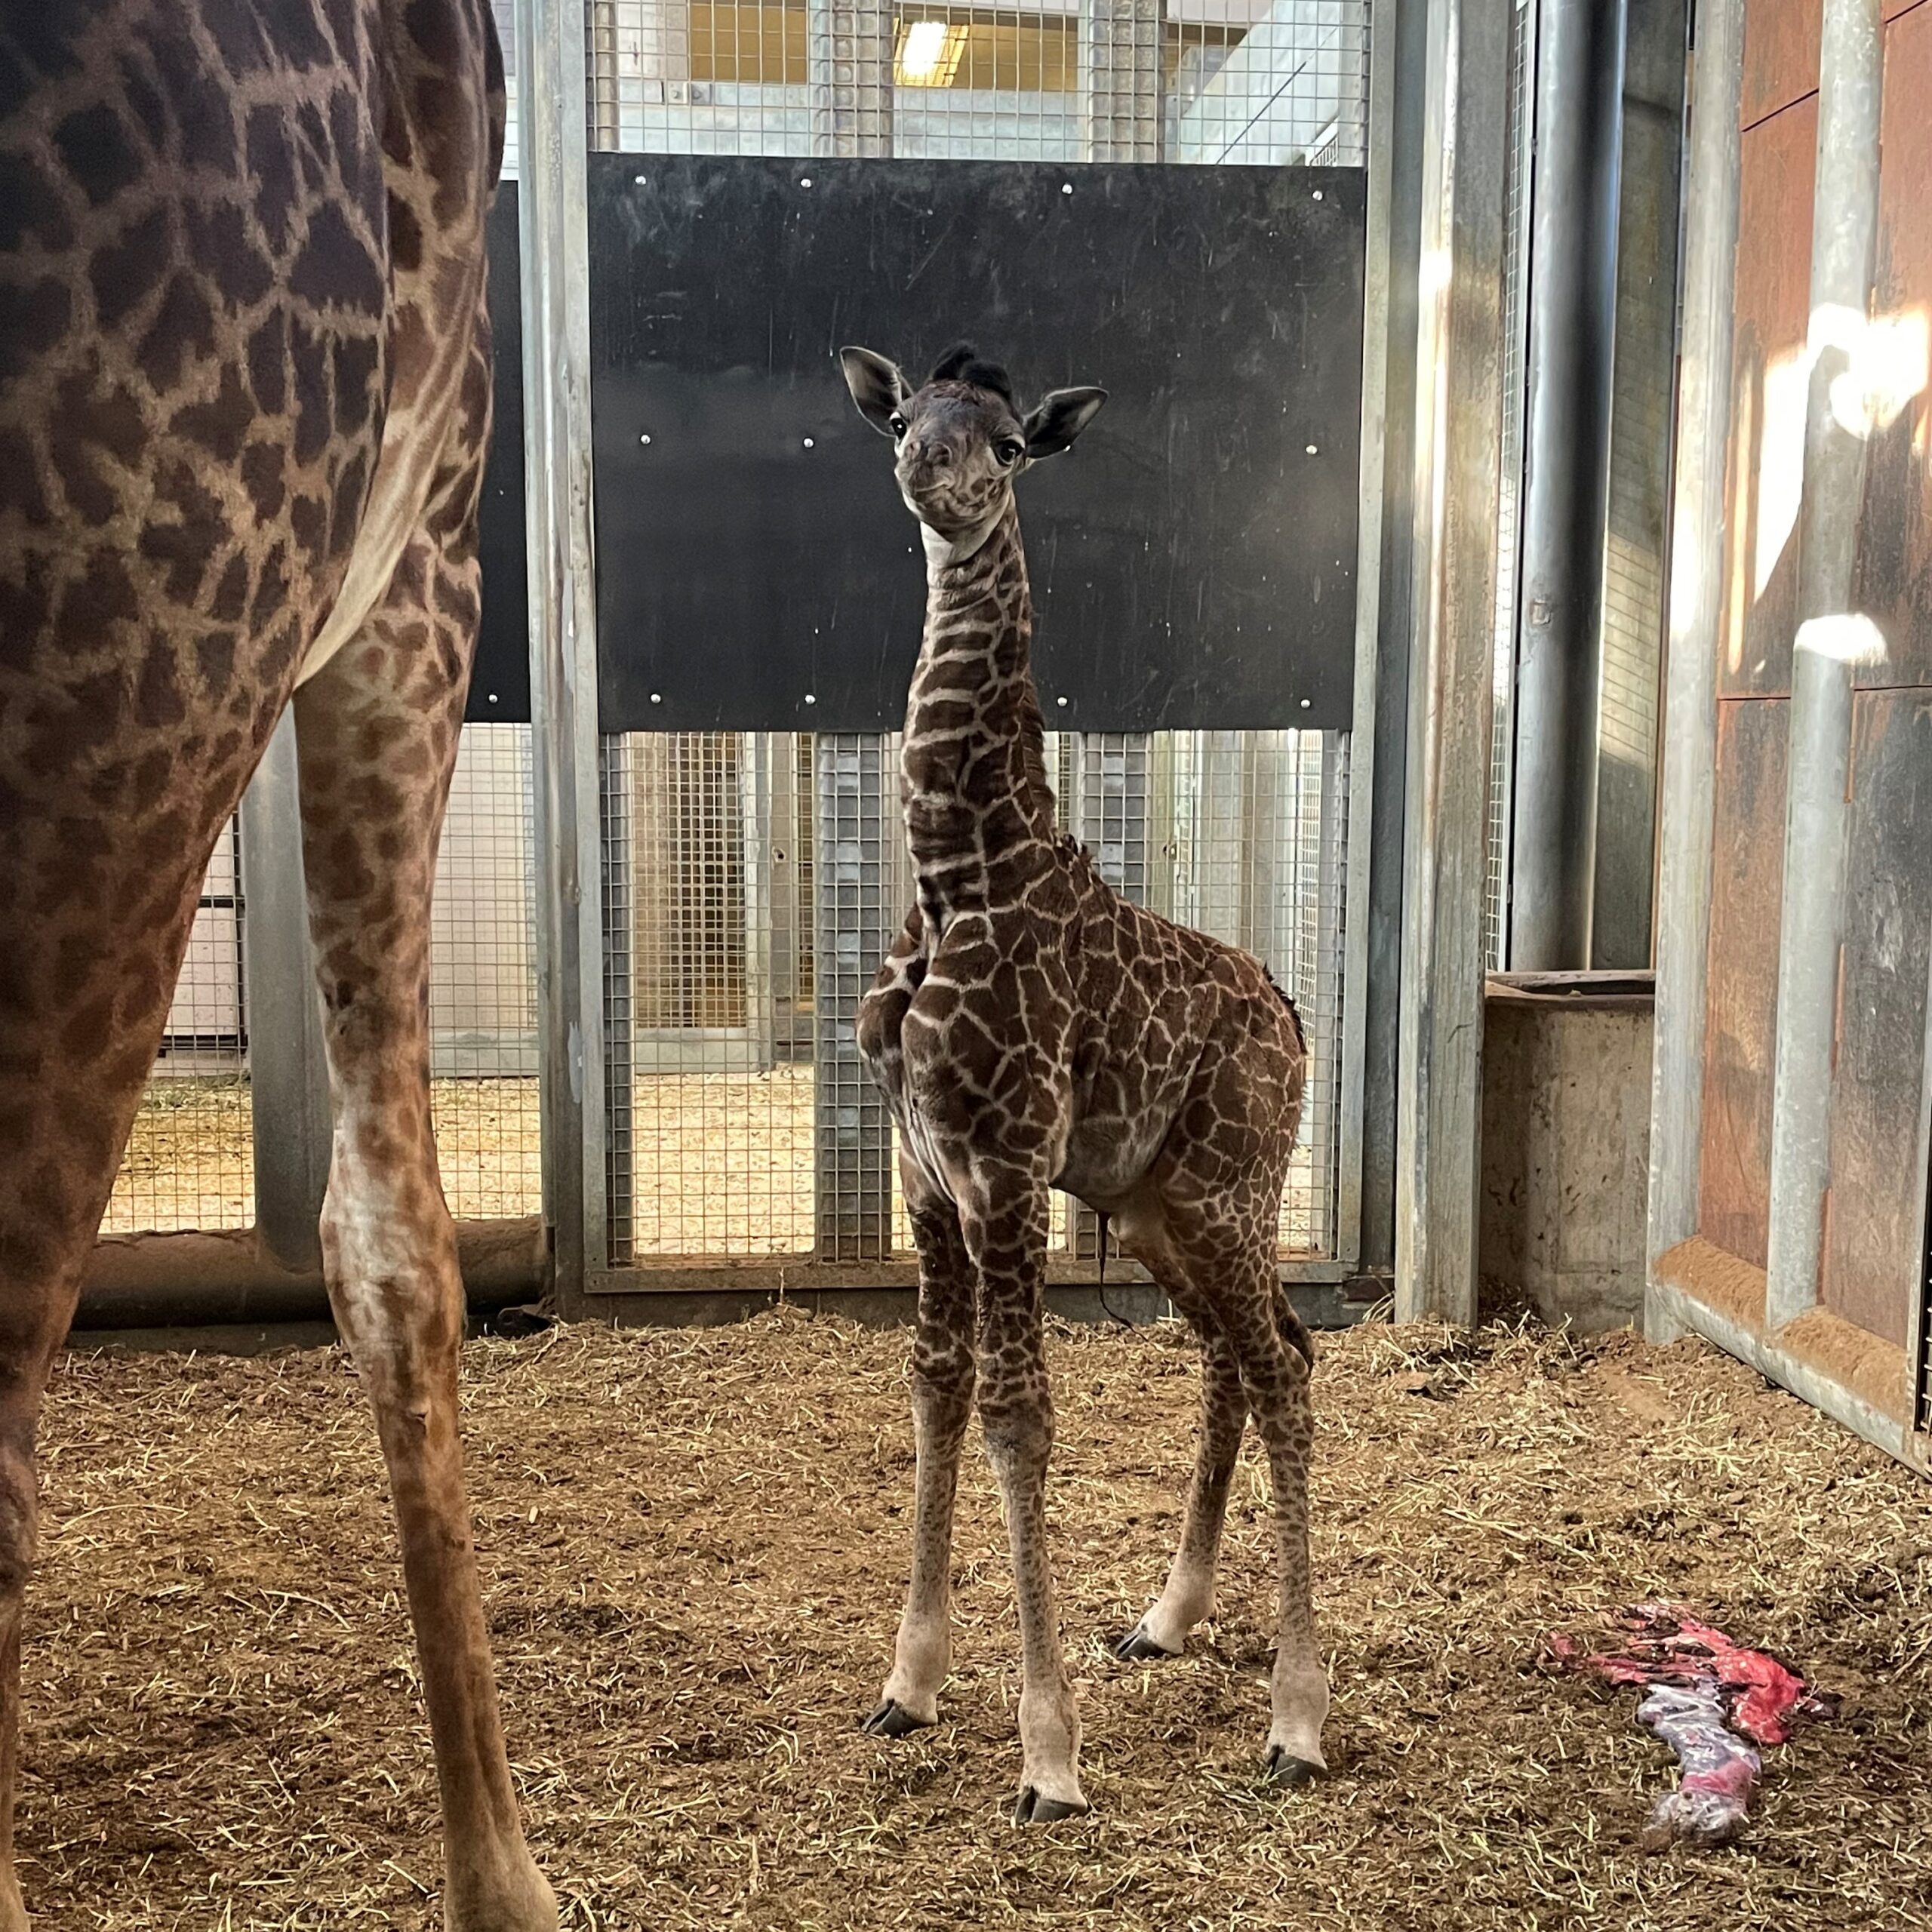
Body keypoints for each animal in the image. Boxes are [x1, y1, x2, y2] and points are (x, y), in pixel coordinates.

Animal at [839, 343, 1328, 1822]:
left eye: (1006, 441)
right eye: (901, 414)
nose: (927, 470)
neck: (957, 870)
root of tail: (1292, 1017)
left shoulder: (1003, 1165)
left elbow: (1019, 1414)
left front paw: (1047, 1753)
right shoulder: (925, 1174)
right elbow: (936, 1387)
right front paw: (909, 1686)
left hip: (1226, 1192)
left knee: (1285, 1366)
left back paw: (1298, 1721)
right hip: (1162, 1208)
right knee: (1246, 1355)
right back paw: (1169, 1618)